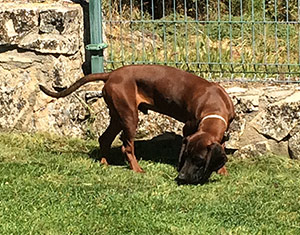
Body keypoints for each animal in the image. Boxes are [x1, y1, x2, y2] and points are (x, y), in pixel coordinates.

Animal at [39, 64, 234, 185]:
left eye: (199, 160)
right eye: (186, 157)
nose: (182, 176)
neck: (214, 104)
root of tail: (111, 74)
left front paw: (222, 169)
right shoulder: (188, 127)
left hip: (118, 116)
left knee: (104, 139)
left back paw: (104, 162)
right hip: (129, 116)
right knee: (126, 146)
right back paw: (136, 169)